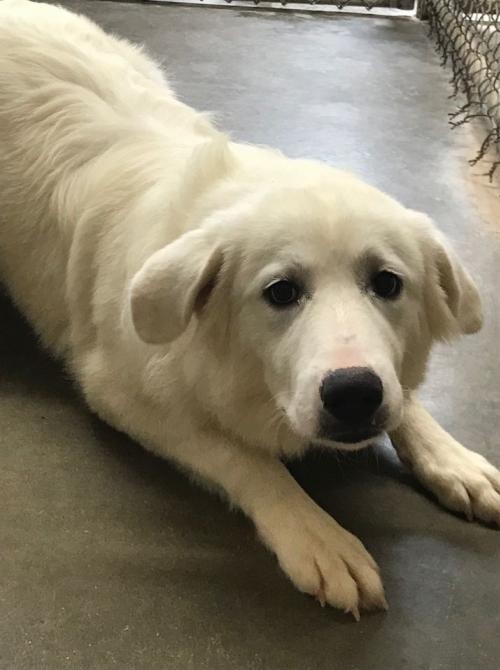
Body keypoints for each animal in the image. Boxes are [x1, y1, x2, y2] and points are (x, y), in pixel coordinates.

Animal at [0, 0, 500, 620]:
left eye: (387, 283)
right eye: (281, 292)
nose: (354, 394)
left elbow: (405, 400)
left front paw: (451, 459)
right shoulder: (119, 394)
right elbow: (246, 459)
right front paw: (318, 535)